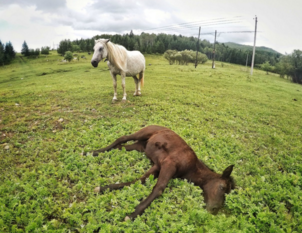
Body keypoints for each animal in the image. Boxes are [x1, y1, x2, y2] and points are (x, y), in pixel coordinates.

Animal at [84, 124, 235, 219]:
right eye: (222, 187)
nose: (214, 210)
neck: (192, 167)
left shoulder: (158, 165)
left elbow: (139, 180)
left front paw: (104, 188)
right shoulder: (169, 164)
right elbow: (159, 188)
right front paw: (133, 215)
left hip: (140, 146)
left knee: (120, 146)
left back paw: (93, 153)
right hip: (143, 133)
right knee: (122, 138)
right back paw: (89, 152)